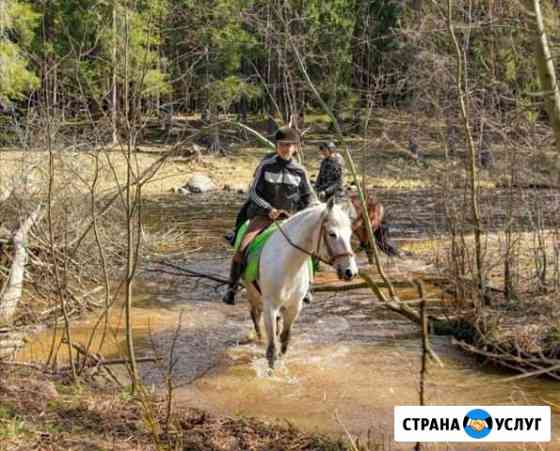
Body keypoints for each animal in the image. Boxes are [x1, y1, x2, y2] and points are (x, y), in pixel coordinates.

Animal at [243, 198, 356, 370]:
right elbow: (272, 349)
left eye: (350, 234)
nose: (351, 272)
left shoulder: (295, 306)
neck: (288, 264)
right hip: (254, 297)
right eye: (332, 234)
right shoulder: (270, 307)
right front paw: (272, 372)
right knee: (255, 317)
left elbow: (284, 341)